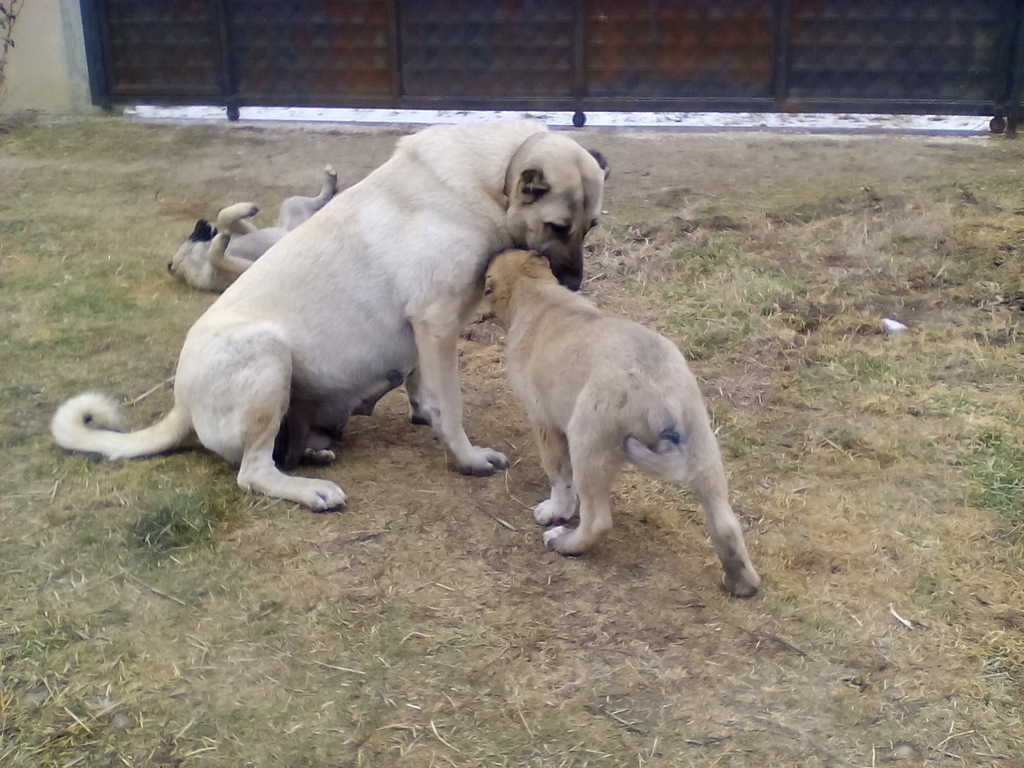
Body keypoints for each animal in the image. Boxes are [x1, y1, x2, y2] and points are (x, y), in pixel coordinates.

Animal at [168, 165, 339, 292]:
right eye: (195, 232)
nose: (202, 222)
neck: (197, 256)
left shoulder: (246, 230)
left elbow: (224, 216)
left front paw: (248, 209)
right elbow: (216, 258)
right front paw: (221, 240)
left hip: (293, 204)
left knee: (320, 199)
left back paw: (330, 180)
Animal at [483, 249, 760, 596]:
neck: (537, 292)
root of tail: (660, 395)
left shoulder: (544, 422)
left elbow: (560, 477)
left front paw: (554, 512)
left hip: (587, 440)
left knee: (597, 519)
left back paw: (563, 542)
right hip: (703, 446)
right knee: (725, 523)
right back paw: (742, 583)